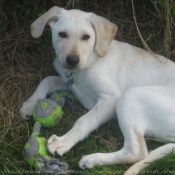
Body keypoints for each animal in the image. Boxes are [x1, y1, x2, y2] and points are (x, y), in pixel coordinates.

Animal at [19, 6, 175, 174]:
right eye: (62, 34)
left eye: (86, 37)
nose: (72, 60)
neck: (89, 61)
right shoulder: (71, 83)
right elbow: (46, 80)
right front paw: (30, 104)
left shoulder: (111, 98)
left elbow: (84, 120)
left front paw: (63, 142)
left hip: (130, 96)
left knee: (136, 152)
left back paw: (93, 159)